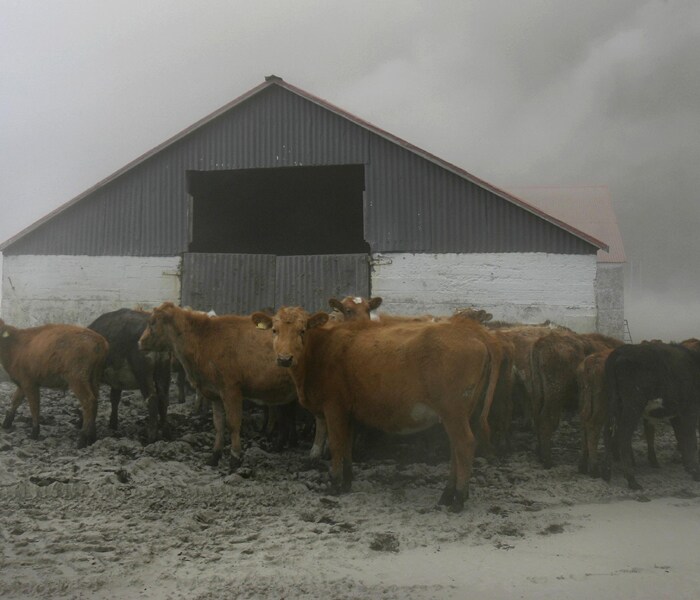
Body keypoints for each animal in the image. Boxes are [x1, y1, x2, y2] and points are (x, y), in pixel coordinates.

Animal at [87, 310, 172, 440]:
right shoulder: (117, 381)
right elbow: (114, 398)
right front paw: (113, 424)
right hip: (164, 370)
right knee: (163, 398)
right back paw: (166, 432)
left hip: (143, 372)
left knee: (152, 399)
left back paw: (151, 436)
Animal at [138, 302, 302, 472]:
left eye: (152, 322)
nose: (140, 342)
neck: (204, 339)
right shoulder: (214, 393)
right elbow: (218, 424)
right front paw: (214, 456)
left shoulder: (231, 390)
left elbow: (233, 424)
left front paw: (235, 459)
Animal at [252, 310, 504, 510]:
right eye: (274, 330)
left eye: (302, 330)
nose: (284, 358)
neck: (322, 349)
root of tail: (472, 331)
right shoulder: (348, 412)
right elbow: (347, 445)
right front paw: (347, 481)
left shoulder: (333, 407)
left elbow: (336, 445)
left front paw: (334, 484)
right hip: (458, 413)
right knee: (455, 449)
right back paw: (447, 495)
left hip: (454, 411)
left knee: (465, 444)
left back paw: (458, 499)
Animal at [600, 340, 700, 490]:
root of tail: (621, 350)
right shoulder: (690, 410)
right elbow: (691, 440)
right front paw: (695, 471)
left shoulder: (677, 414)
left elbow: (681, 437)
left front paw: (687, 466)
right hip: (633, 405)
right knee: (623, 435)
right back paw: (632, 480)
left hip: (614, 402)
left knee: (608, 431)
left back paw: (606, 474)